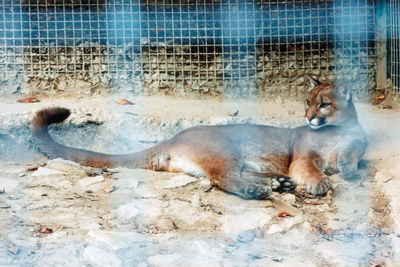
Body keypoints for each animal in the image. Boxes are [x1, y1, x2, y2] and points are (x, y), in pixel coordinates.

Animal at [31, 75, 368, 199]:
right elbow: (311, 167)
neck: (334, 131)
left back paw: (278, 183)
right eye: (307, 102)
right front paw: (320, 183)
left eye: (324, 104)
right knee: (222, 178)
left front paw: (348, 169)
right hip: (225, 149)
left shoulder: (356, 144)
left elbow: (353, 153)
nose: (308, 117)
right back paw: (259, 190)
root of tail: (173, 138)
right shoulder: (303, 157)